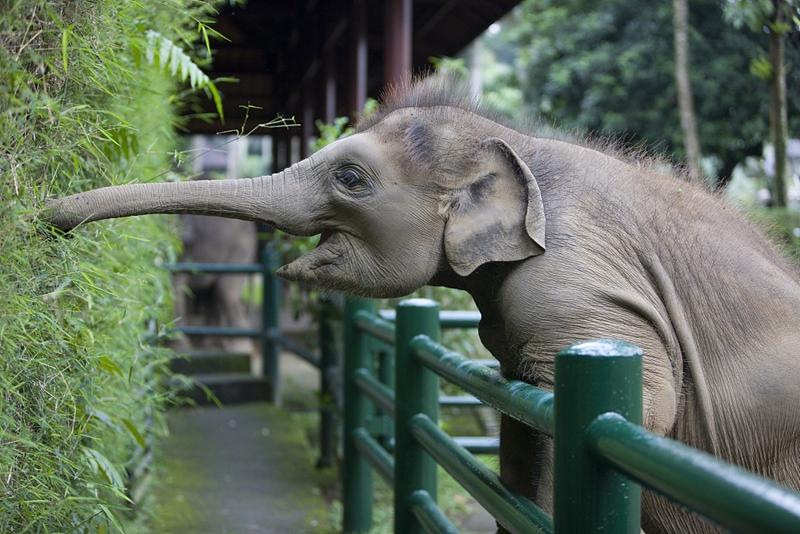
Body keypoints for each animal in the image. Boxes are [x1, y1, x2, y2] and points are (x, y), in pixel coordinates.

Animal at [43, 76, 800, 534]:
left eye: (350, 178)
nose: (49, 219)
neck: (522, 146)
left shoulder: (578, 282)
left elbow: (643, 402)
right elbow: (523, 422)